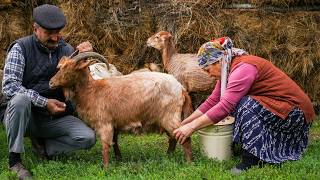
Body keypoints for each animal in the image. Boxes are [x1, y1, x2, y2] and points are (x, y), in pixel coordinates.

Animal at [49, 52, 194, 168]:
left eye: (68, 68)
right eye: (60, 67)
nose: (51, 83)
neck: (92, 90)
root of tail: (181, 89)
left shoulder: (105, 123)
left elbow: (105, 146)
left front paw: (106, 168)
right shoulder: (115, 123)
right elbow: (115, 143)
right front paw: (118, 159)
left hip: (170, 116)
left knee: (184, 137)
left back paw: (188, 163)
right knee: (173, 138)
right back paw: (168, 156)